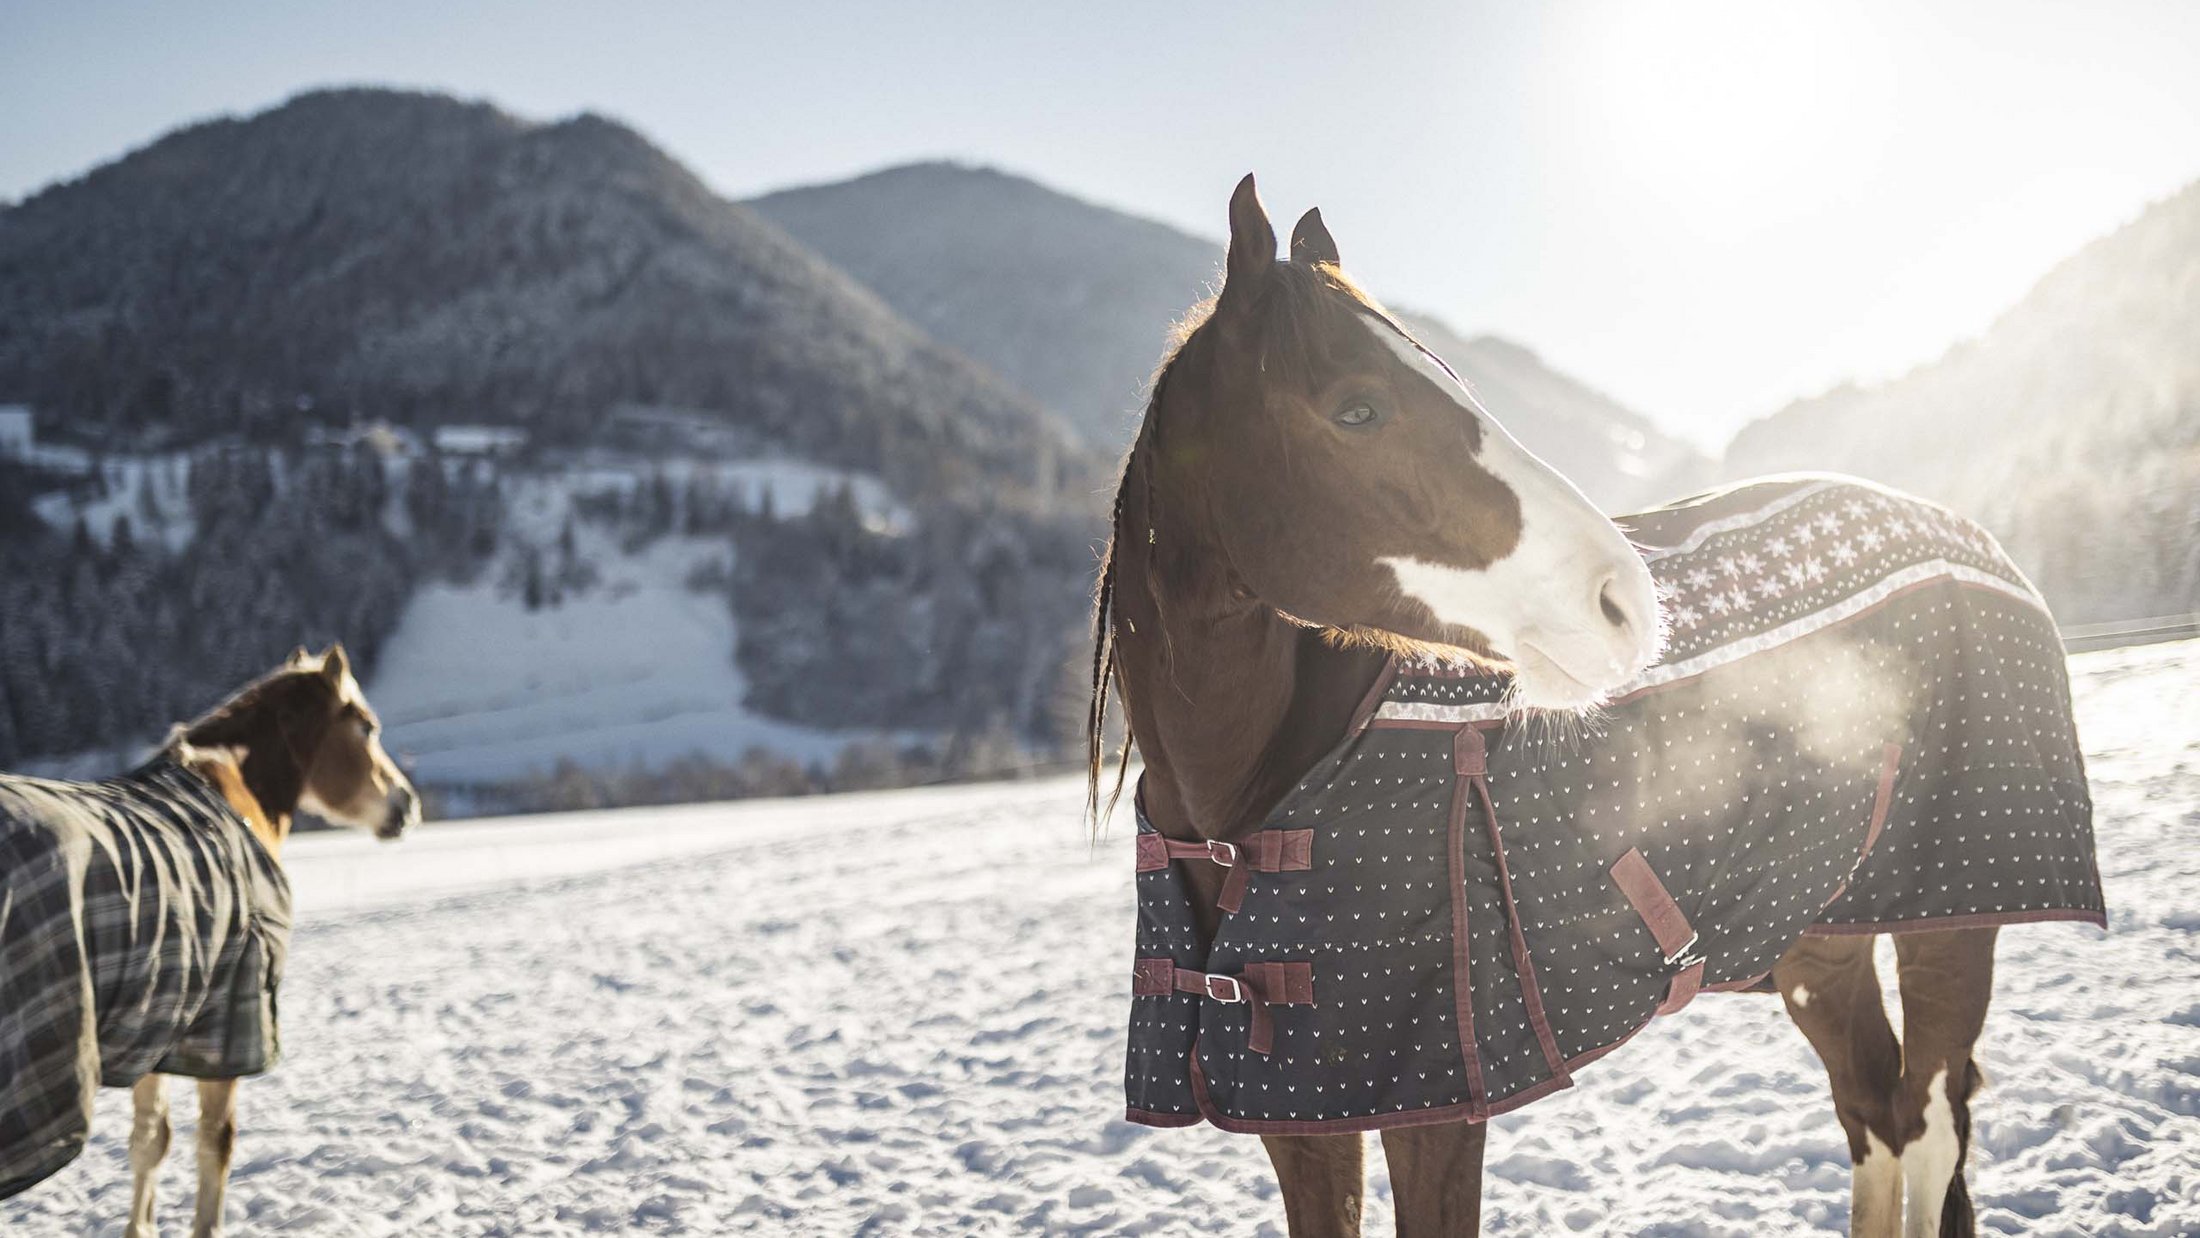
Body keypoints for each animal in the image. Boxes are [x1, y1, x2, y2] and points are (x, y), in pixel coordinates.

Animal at [0, 644, 418, 1237]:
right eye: (366, 727)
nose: (406, 805)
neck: (231, 789)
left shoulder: (160, 1020)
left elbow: (150, 1141)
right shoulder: (228, 1023)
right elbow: (214, 1144)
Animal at [1089, 176, 2099, 1237]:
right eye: (1356, 408)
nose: (1625, 601)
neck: (1254, 804)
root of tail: (1972, 537)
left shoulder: (1438, 1114)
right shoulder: (1302, 1118)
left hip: (1952, 920)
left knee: (1930, 1121)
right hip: (1824, 947)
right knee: (1876, 1112)